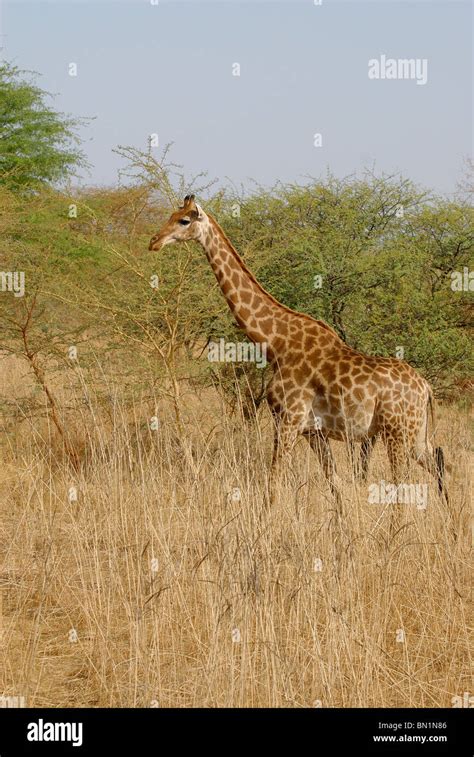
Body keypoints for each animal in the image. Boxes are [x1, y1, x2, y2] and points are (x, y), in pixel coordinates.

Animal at [149, 196, 448, 508]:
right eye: (171, 215)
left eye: (184, 220)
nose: (154, 241)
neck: (274, 343)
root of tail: (426, 388)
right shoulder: (312, 431)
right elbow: (336, 486)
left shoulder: (288, 419)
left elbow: (273, 484)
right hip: (415, 435)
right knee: (440, 466)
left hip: (397, 432)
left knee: (404, 485)